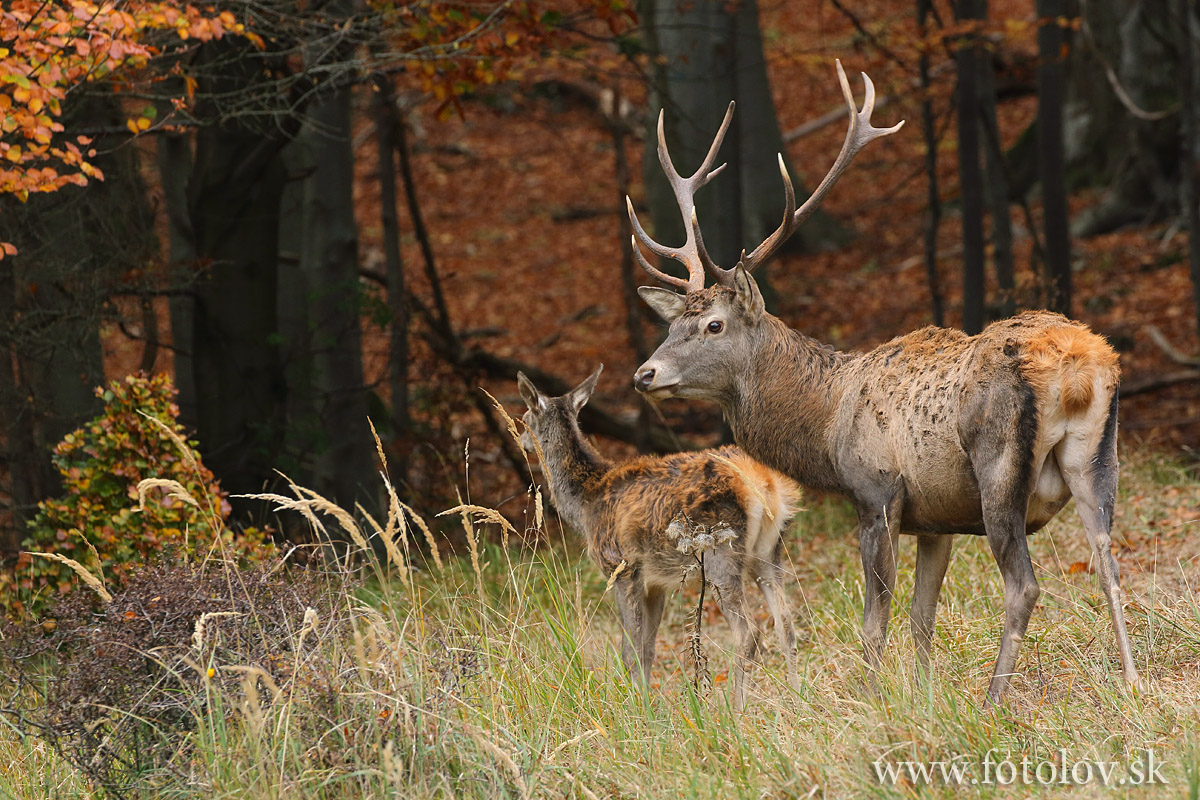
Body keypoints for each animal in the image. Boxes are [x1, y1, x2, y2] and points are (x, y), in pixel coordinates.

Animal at [516, 367, 796, 710]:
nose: (522, 440)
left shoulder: (621, 566)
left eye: (525, 418)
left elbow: (630, 650)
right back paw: (799, 701)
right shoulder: (656, 583)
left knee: (750, 632)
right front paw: (648, 704)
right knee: (786, 623)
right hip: (768, 550)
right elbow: (648, 649)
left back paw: (736, 711)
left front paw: (636, 710)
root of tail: (763, 483)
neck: (585, 503)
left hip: (721, 549)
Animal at [628, 62, 1132, 705]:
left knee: (1024, 585)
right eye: (673, 324)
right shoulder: (936, 518)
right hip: (1097, 459)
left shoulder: (877, 493)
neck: (826, 423)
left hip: (998, 469)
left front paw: (872, 700)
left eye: (713, 324)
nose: (645, 373)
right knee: (1108, 564)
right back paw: (1132, 682)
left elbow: (875, 622)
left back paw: (994, 700)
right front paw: (924, 700)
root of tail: (1079, 365)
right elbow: (922, 618)